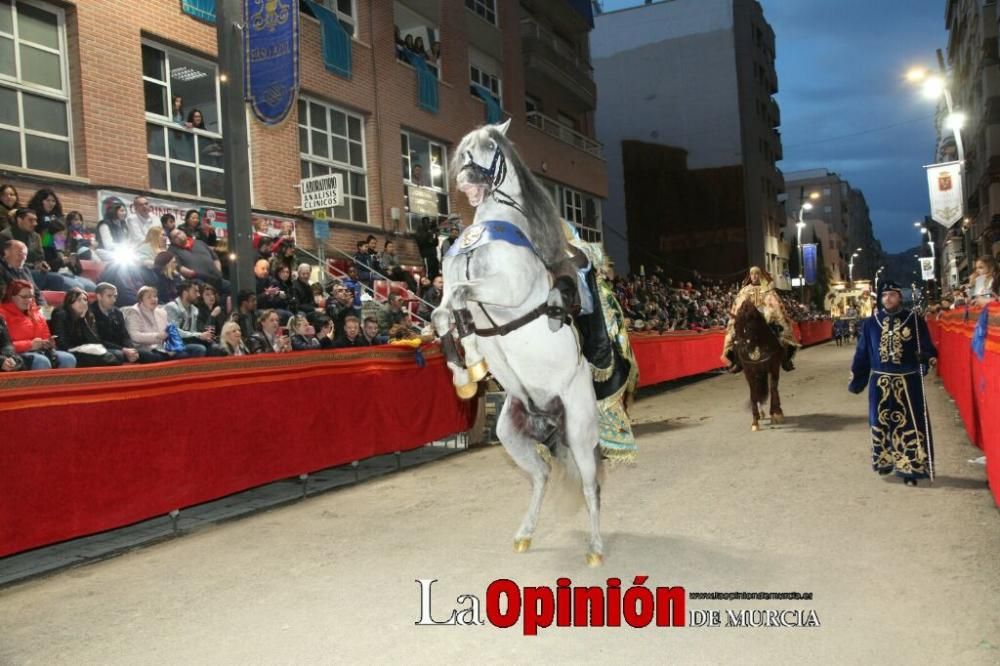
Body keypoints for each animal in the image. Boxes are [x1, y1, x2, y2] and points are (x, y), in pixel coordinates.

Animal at [430, 119, 600, 564]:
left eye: (491, 148)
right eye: (464, 151)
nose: (467, 179)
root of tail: (547, 417)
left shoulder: (505, 289)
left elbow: (461, 300)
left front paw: (470, 363)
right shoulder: (451, 287)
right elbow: (444, 313)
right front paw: (465, 374)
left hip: (580, 430)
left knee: (590, 484)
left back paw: (595, 548)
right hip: (510, 432)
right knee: (541, 475)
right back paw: (524, 534)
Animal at [732, 296, 784, 430]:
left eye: (749, 326)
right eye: (735, 326)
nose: (743, 348)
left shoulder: (773, 367)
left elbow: (773, 388)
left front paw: (775, 414)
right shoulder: (749, 371)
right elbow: (753, 392)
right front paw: (755, 421)